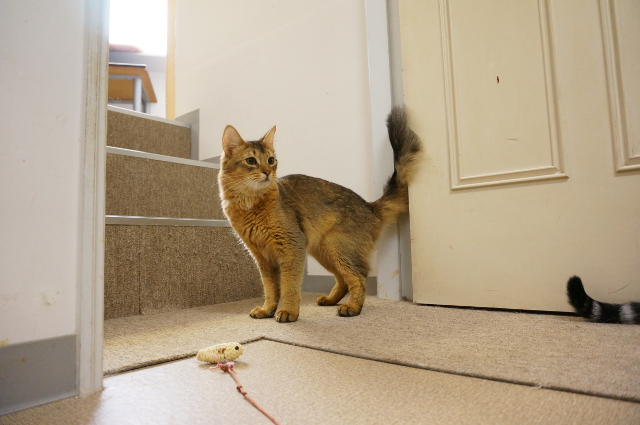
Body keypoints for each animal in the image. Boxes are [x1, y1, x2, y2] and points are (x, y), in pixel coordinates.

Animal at [218, 107, 422, 322]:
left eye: (271, 160)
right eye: (251, 161)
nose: (267, 172)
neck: (249, 204)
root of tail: (369, 205)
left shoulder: (292, 245)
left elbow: (289, 285)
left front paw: (289, 311)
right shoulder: (262, 257)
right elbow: (270, 288)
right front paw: (267, 310)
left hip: (338, 247)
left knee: (359, 276)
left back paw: (352, 307)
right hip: (323, 251)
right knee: (343, 279)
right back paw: (331, 300)